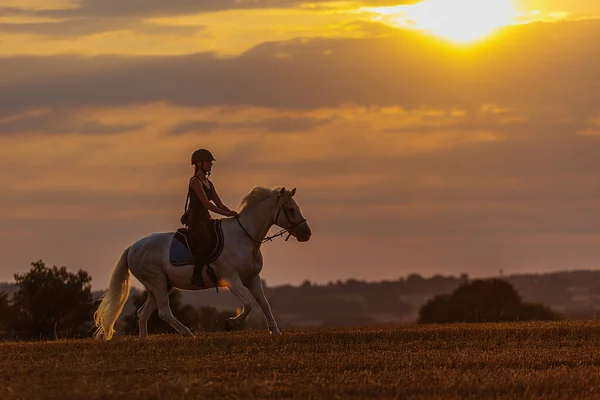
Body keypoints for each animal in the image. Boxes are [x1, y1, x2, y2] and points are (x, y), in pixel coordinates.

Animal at [94, 186, 312, 340]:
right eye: (291, 209)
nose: (307, 233)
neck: (244, 237)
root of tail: (132, 248)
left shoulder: (252, 278)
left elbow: (264, 304)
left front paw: (275, 331)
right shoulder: (231, 279)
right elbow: (249, 304)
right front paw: (229, 324)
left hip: (160, 285)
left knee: (143, 313)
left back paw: (144, 340)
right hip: (156, 281)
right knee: (164, 312)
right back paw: (188, 334)